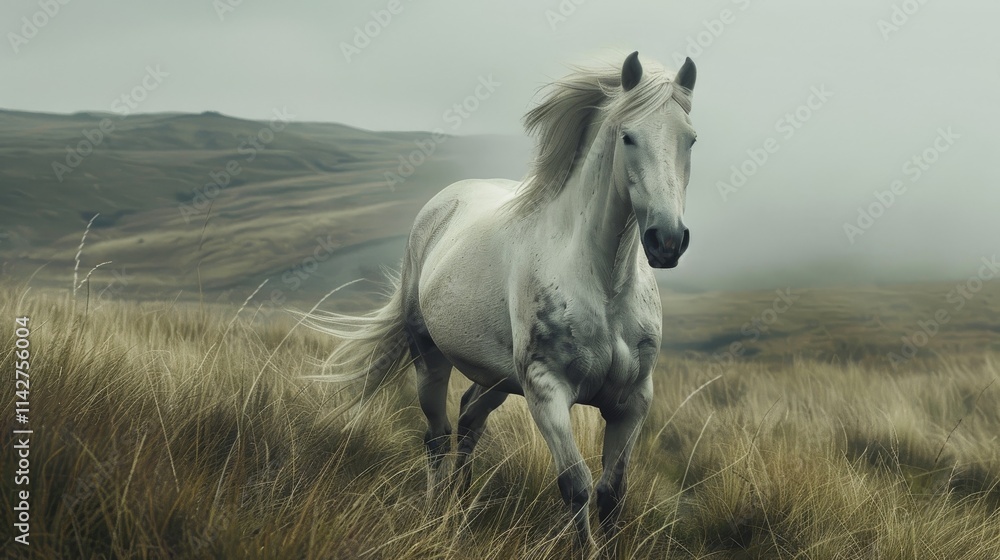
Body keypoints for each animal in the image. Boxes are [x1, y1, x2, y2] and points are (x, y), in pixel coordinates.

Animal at [307, 51, 697, 551]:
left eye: (690, 139)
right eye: (628, 136)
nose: (666, 240)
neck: (604, 285)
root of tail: (441, 205)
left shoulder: (632, 401)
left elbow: (612, 493)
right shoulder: (546, 390)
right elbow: (576, 485)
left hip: (497, 378)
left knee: (469, 422)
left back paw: (461, 507)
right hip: (429, 356)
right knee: (437, 437)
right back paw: (437, 516)